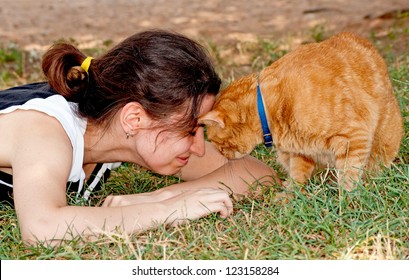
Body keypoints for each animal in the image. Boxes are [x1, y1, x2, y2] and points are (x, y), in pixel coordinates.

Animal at [201, 31, 402, 191]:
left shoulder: (353, 137)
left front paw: (346, 199)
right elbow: (298, 175)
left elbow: (349, 175)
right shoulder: (301, 151)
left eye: (216, 143)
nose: (222, 156)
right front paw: (291, 195)